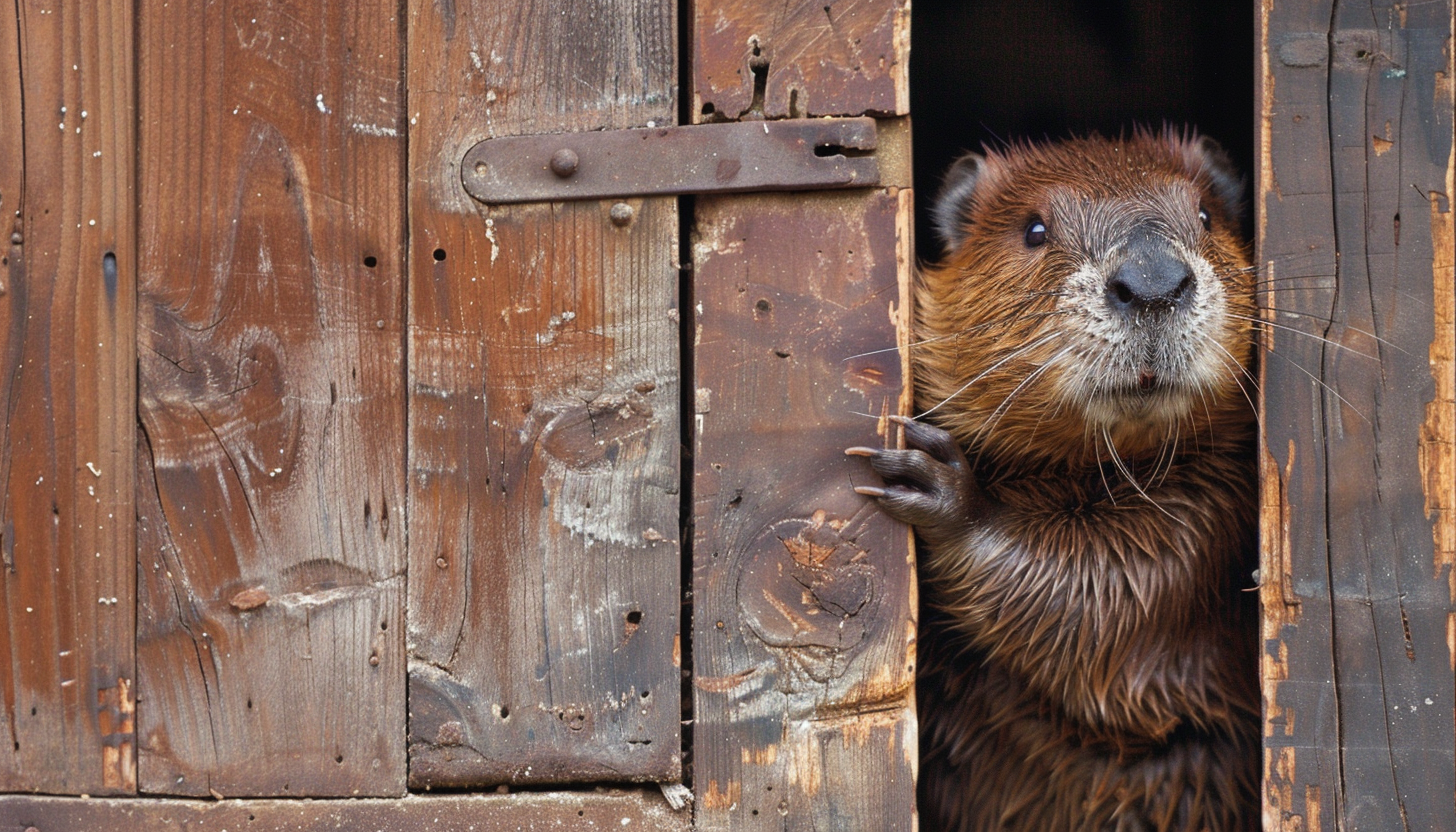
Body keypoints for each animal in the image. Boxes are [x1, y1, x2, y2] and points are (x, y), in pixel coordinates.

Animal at [850, 131, 1257, 832]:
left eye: (1206, 215)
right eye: (1034, 229)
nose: (1152, 284)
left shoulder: (1212, 513)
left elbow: (1105, 595)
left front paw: (938, 487)